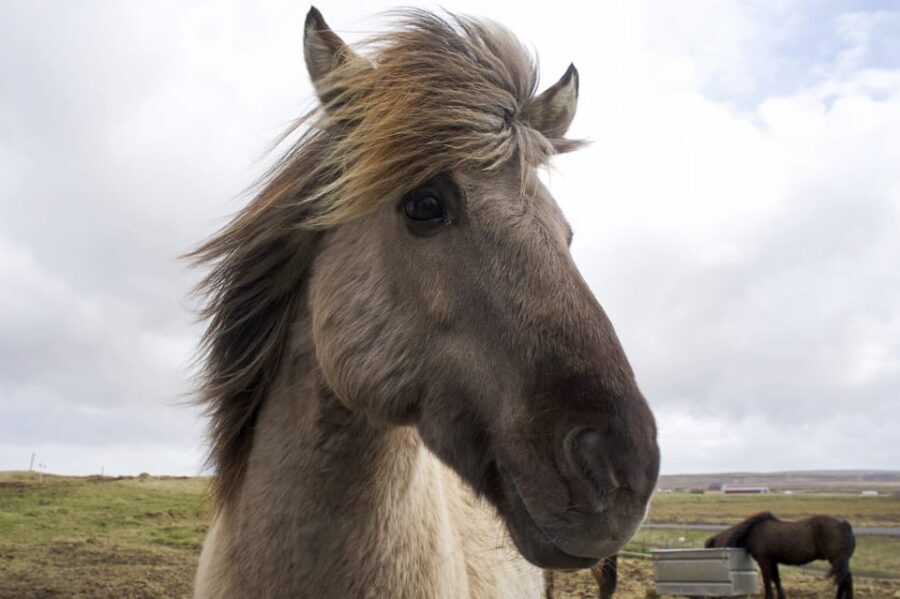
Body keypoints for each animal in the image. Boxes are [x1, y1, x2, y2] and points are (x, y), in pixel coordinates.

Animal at [705, 512, 855, 599]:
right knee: (845, 578)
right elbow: (776, 580)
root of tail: (844, 524)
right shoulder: (773, 561)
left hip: (836, 559)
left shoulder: (764, 560)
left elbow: (767, 581)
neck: (751, 532)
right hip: (839, 561)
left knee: (845, 579)